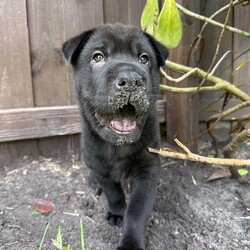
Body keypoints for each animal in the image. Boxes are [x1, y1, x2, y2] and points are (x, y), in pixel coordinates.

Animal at [62, 23, 168, 250]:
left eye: (144, 59)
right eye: (98, 57)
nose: (131, 80)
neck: (118, 145)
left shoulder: (148, 170)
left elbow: (137, 211)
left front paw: (130, 244)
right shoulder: (100, 167)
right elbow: (114, 194)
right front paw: (118, 214)